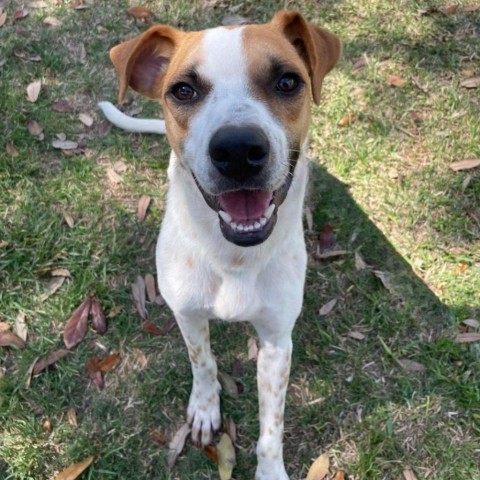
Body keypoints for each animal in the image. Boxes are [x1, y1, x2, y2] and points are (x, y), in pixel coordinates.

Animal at [100, 10, 342, 476]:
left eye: (287, 81)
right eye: (183, 90)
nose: (238, 150)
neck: (234, 257)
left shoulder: (276, 341)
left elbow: (272, 425)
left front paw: (270, 470)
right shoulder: (187, 313)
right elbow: (203, 362)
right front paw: (205, 409)